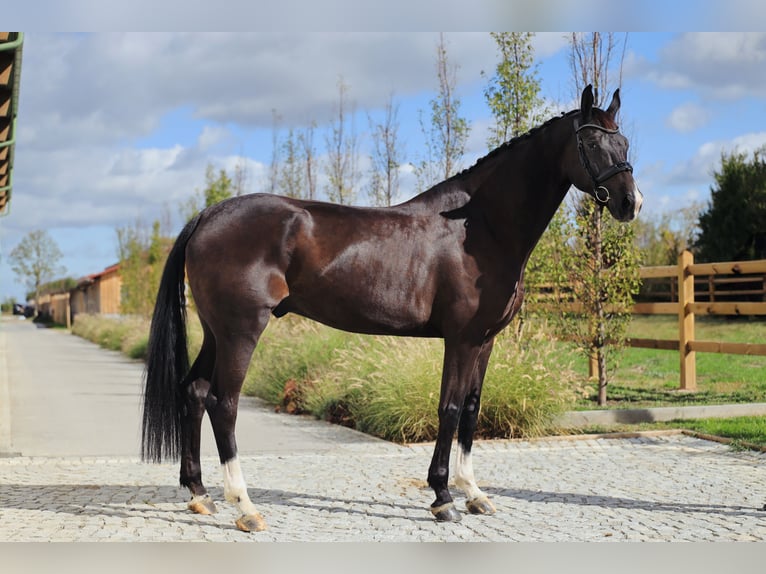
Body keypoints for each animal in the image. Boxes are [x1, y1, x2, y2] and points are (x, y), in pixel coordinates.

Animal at [141, 84, 642, 532]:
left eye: (624, 143)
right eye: (591, 143)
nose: (629, 203)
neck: (480, 229)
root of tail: (208, 215)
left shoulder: (485, 341)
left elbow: (473, 409)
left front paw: (475, 494)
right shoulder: (461, 339)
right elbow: (450, 408)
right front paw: (443, 498)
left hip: (215, 331)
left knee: (194, 392)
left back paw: (200, 494)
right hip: (242, 330)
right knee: (223, 403)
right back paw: (245, 507)